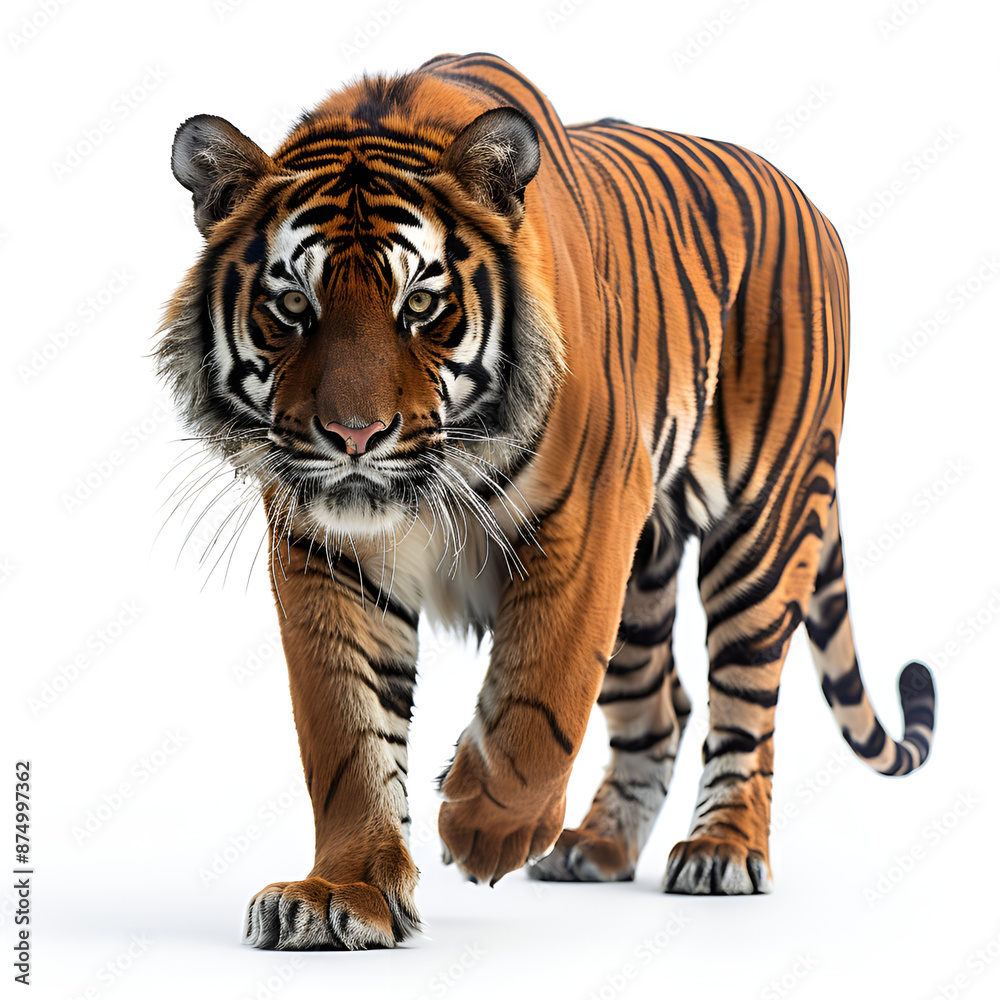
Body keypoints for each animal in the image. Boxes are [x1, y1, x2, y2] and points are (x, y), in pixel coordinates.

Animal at [158, 51, 936, 951]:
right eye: (293, 305)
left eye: (419, 304)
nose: (356, 436)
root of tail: (809, 202)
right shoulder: (325, 551)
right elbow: (346, 733)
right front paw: (339, 894)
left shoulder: (591, 512)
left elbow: (543, 693)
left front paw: (483, 829)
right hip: (643, 580)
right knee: (660, 704)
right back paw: (597, 847)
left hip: (763, 527)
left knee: (744, 701)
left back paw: (720, 851)